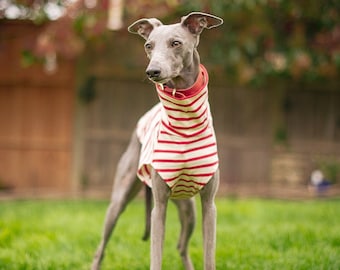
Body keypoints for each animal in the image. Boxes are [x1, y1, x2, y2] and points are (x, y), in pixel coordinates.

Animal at [91, 11, 223, 268]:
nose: (152, 72)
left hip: (189, 209)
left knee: (182, 246)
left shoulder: (209, 205)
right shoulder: (159, 207)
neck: (185, 121)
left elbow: (209, 257)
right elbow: (156, 256)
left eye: (176, 43)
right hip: (119, 200)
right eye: (148, 45)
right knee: (100, 247)